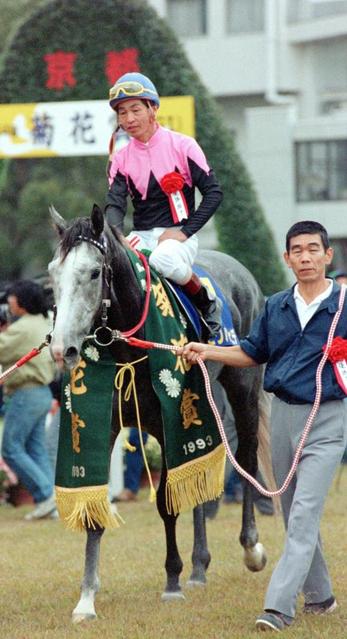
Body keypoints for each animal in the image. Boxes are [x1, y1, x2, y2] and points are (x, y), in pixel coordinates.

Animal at [48, 206, 272, 624]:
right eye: (54, 272)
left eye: (94, 272)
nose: (61, 349)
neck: (128, 350)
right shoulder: (106, 424)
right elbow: (96, 511)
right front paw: (86, 599)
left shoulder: (171, 425)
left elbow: (167, 504)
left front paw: (172, 581)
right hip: (204, 405)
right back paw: (200, 566)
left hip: (243, 389)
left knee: (246, 458)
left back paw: (251, 548)